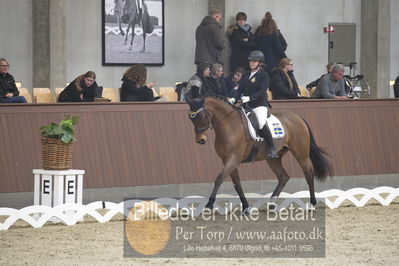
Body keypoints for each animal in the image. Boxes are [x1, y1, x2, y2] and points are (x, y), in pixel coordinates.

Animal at [188, 94, 334, 213]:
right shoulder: (227, 159)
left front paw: (209, 204)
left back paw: (312, 205)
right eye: (191, 118)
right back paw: (272, 204)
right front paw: (246, 207)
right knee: (283, 177)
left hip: (301, 154)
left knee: (309, 173)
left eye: (200, 116)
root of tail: (298, 117)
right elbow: (236, 184)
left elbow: (219, 178)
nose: (200, 140)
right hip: (273, 158)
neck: (229, 125)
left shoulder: (233, 158)